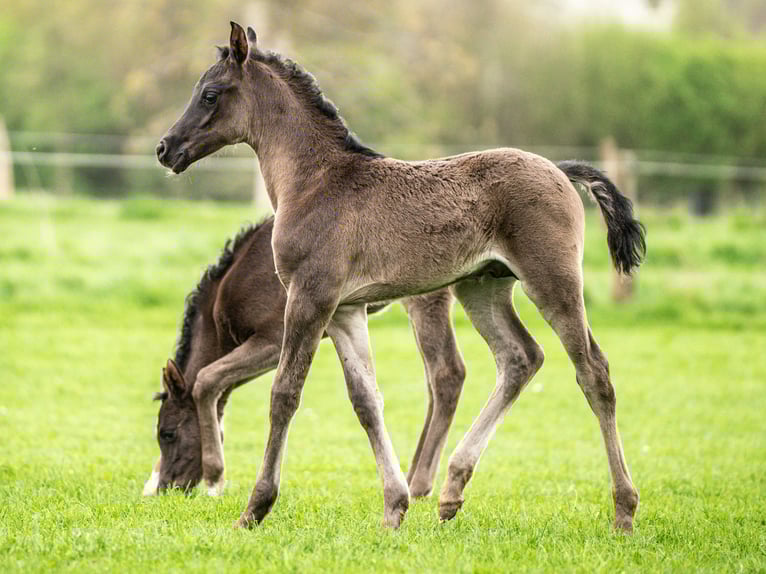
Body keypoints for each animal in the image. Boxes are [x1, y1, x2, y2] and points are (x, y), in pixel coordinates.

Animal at [144, 217, 466, 500]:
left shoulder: (273, 339)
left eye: (167, 433)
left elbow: (207, 379)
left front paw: (214, 478)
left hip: (426, 297)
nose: (168, 487)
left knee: (447, 373)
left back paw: (419, 484)